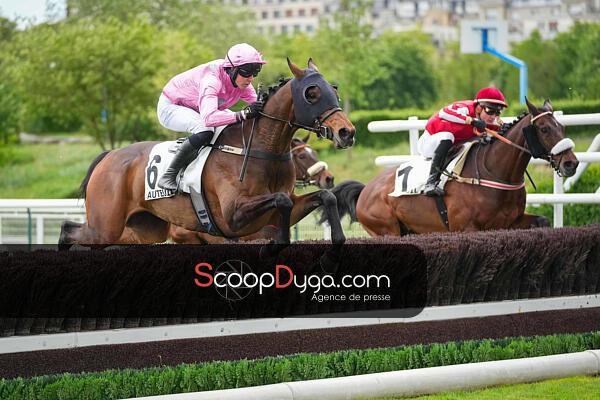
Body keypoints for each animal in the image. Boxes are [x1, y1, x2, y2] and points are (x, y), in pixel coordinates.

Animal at [328, 98, 578, 235]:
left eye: (562, 127)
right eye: (544, 129)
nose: (571, 163)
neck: (494, 172)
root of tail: (366, 189)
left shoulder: (510, 222)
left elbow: (543, 222)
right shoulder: (467, 228)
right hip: (387, 231)